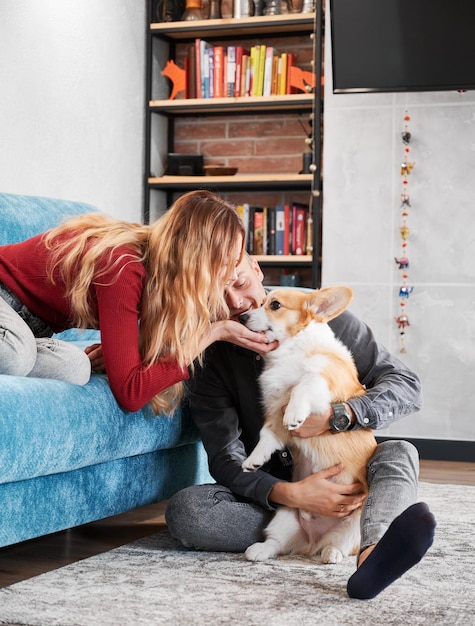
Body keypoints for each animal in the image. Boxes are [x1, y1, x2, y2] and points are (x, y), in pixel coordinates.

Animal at [240, 286, 378, 564]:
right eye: (260, 302)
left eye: (275, 305)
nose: (241, 317)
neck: (292, 349)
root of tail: (312, 543)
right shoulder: (274, 410)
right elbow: (266, 435)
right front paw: (253, 460)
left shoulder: (325, 382)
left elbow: (304, 383)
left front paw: (295, 412)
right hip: (285, 515)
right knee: (277, 543)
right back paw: (258, 550)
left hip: (354, 525)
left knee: (341, 545)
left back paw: (331, 554)